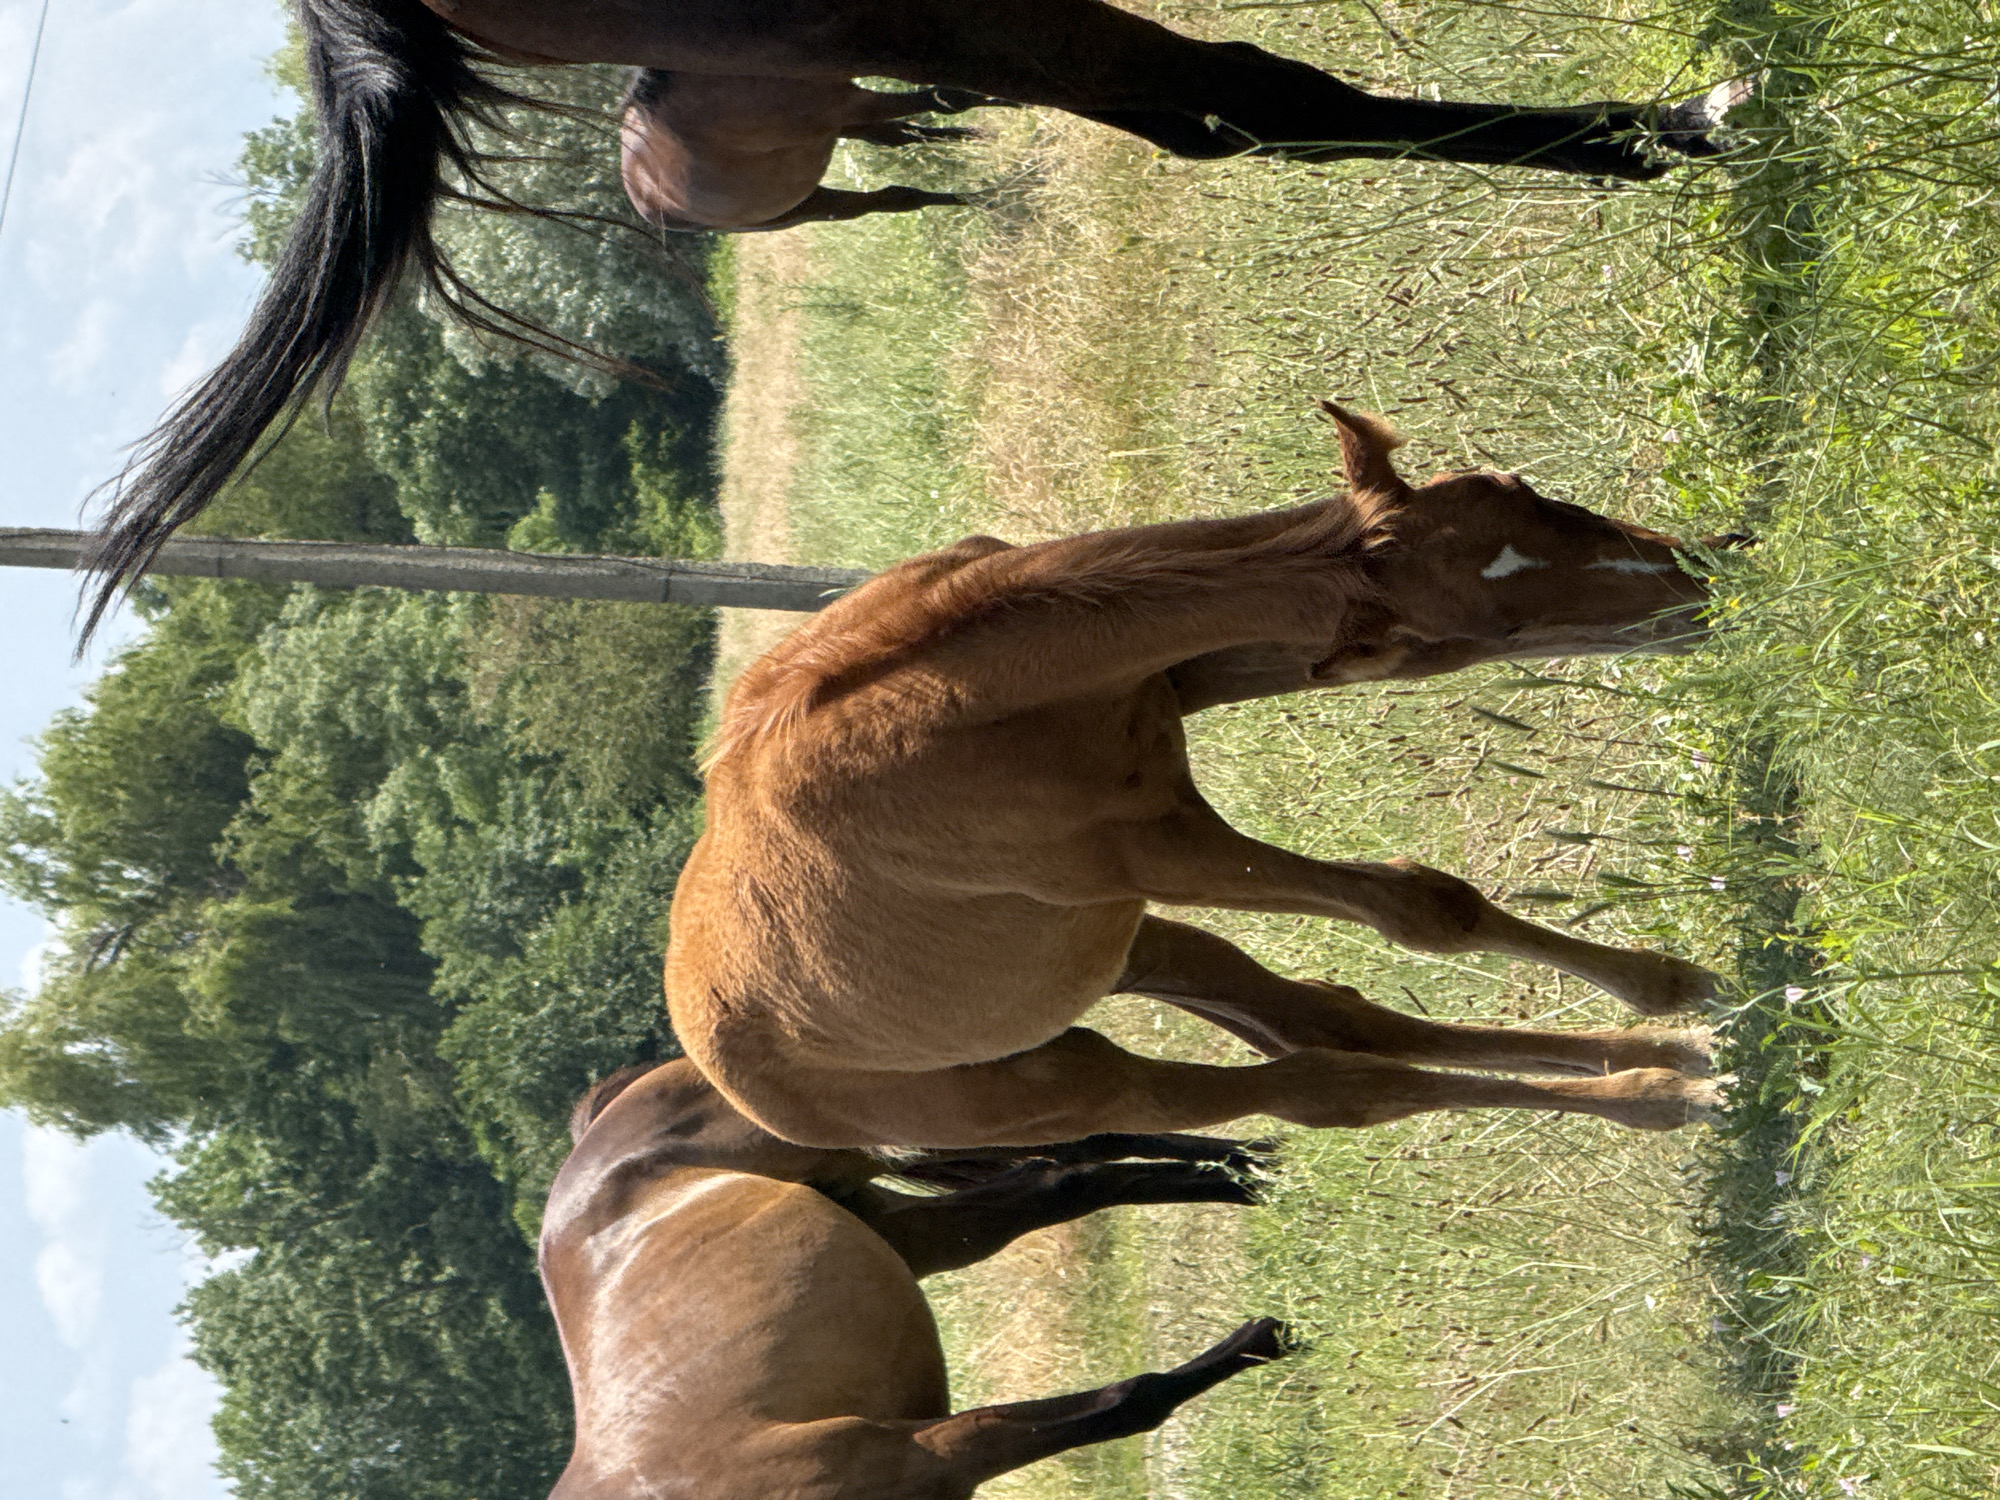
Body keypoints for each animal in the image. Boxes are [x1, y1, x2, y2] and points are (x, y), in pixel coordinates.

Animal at [544, 1055, 1288, 1499]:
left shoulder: (925, 1451)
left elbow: (1129, 1400)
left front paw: (1271, 1336)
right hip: (909, 1226)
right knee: (1070, 1178)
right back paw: (1257, 1174)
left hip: (864, 1140)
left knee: (1082, 1142)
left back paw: (1261, 1170)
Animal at [620, 71, 1003, 231]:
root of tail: (642, 200)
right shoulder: (851, 104)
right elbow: (948, 98)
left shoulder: (845, 105)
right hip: (809, 205)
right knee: (895, 197)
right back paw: (987, 198)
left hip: (832, 133)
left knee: (896, 140)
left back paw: (982, 147)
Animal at [664, 403, 1736, 1152]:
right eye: (1485, 630)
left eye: (1532, 489)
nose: (1700, 587)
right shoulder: (1163, 854)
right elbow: (1423, 911)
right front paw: (1671, 1009)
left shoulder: (1189, 677)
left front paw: (1673, 987)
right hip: (1065, 1084)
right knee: (1324, 1085)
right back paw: (1661, 1095)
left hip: (1119, 952)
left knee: (1323, 1017)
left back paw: (1667, 1053)